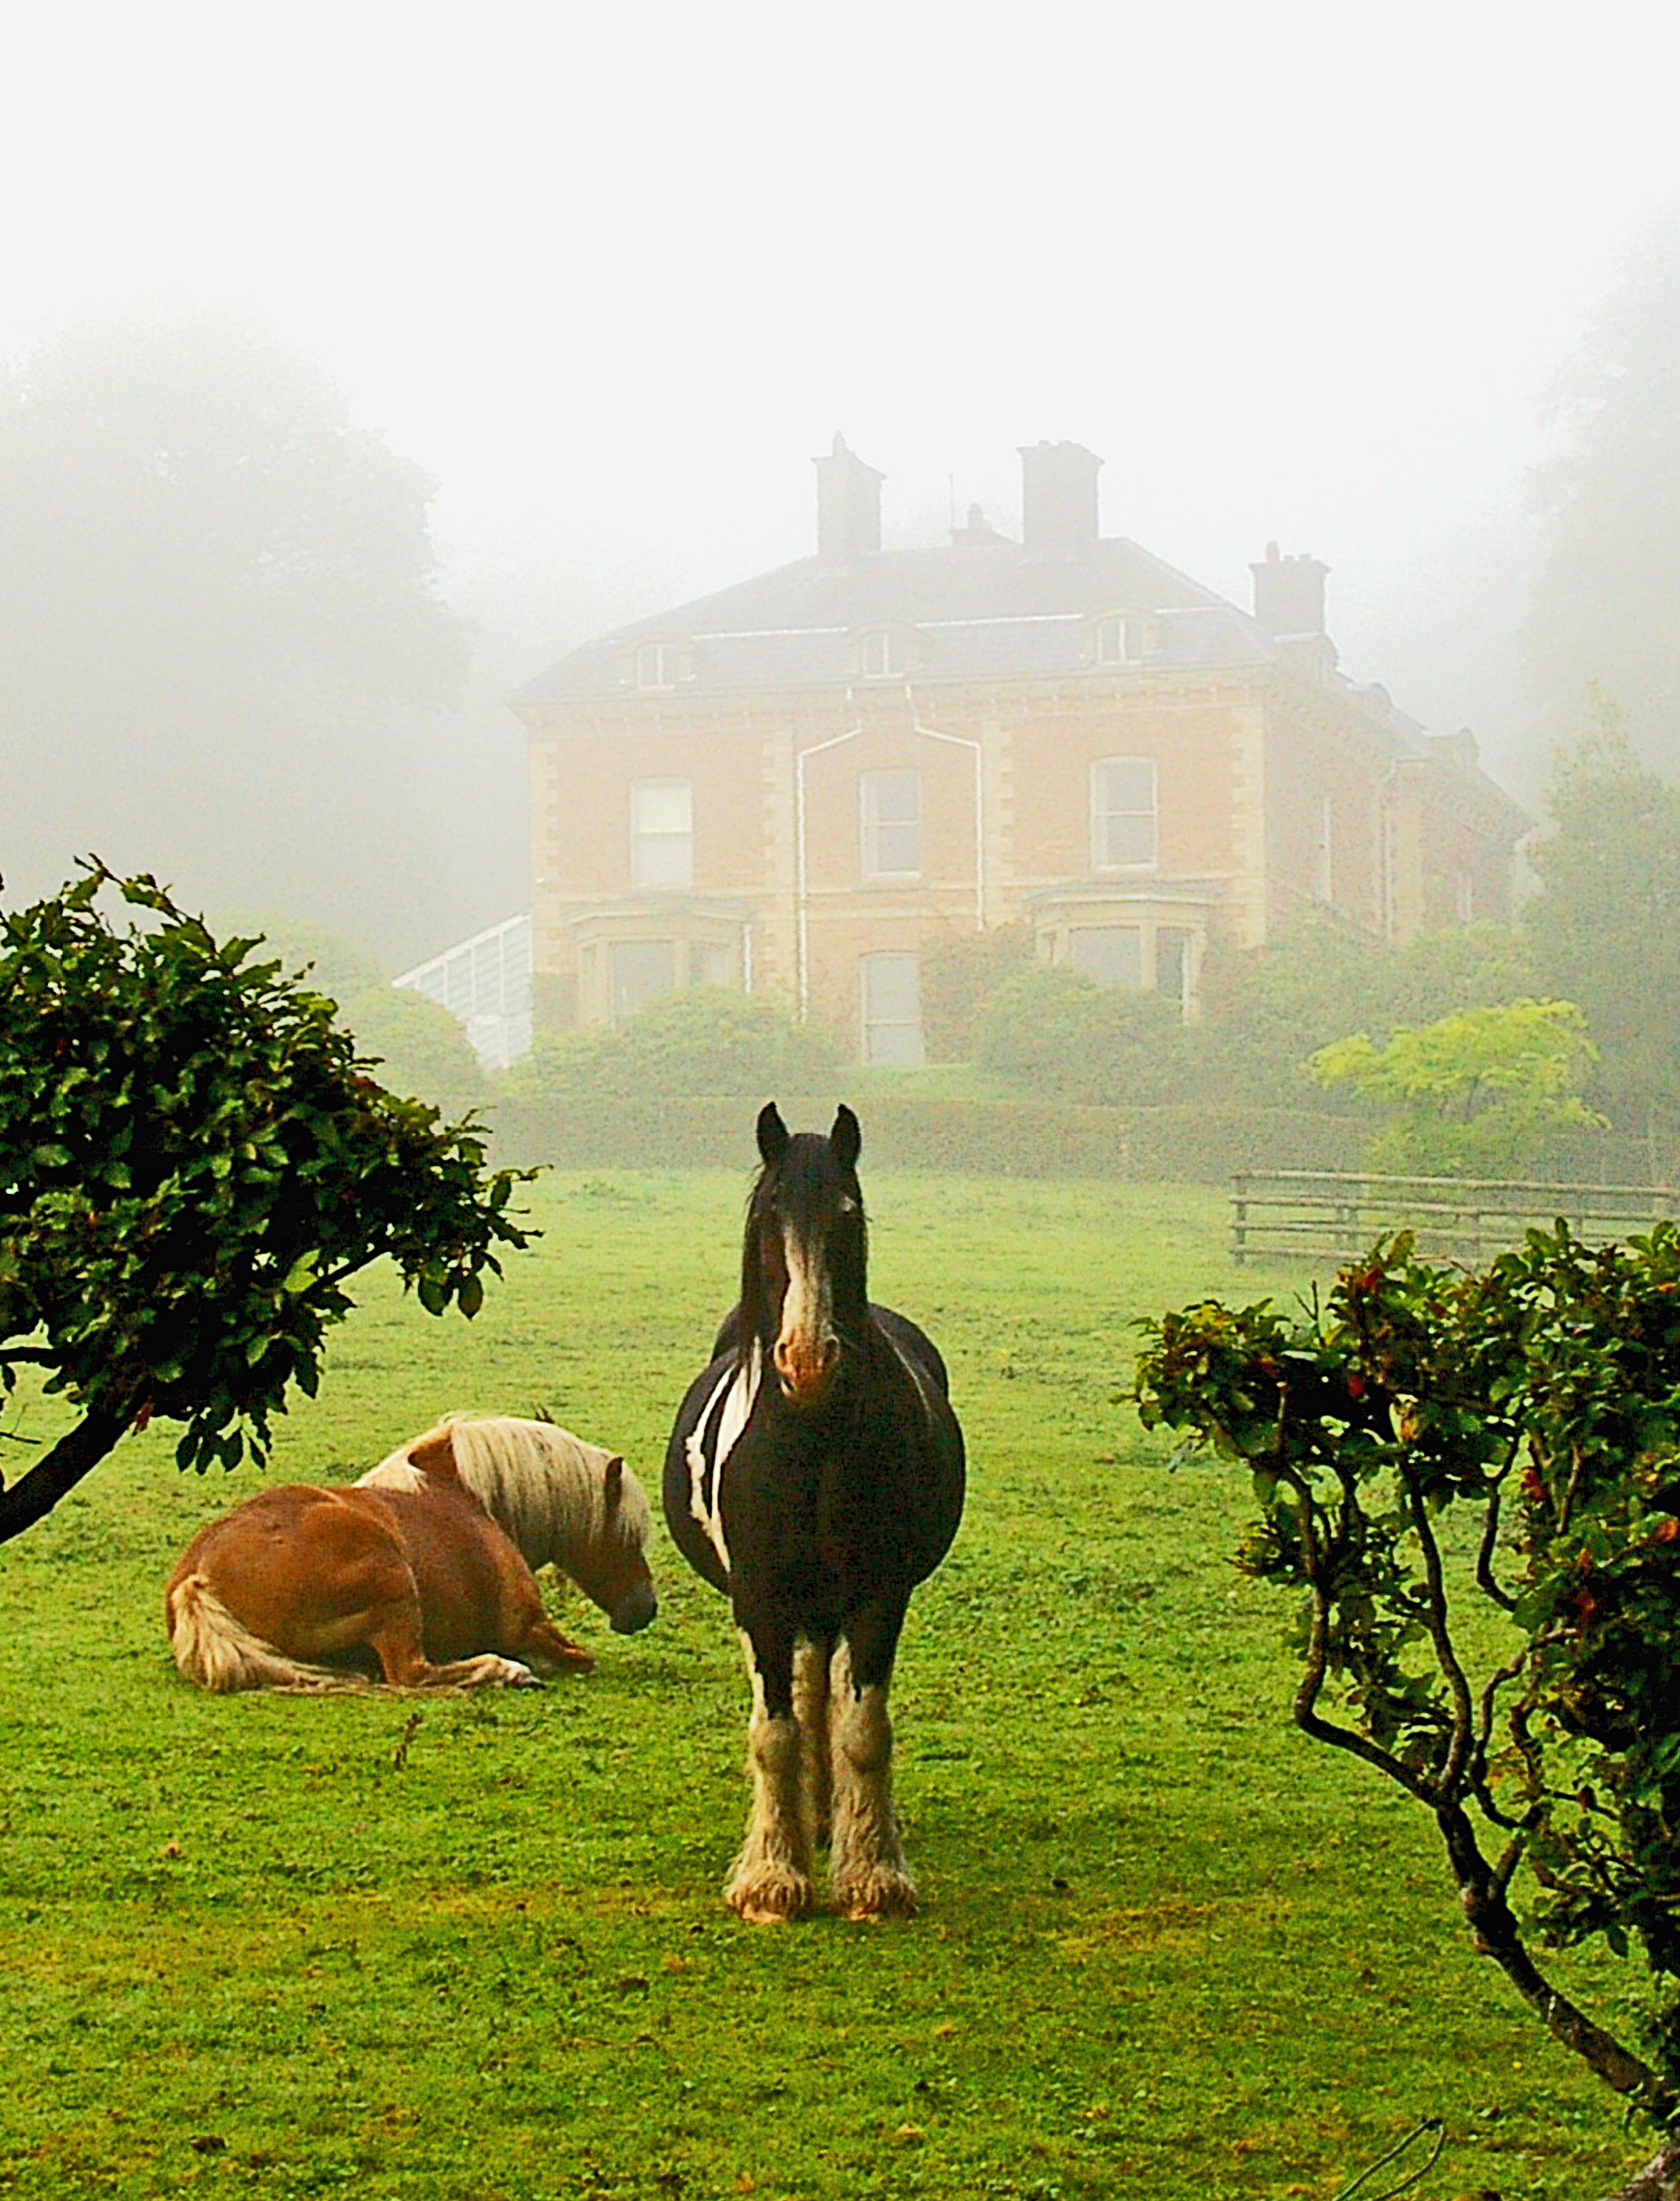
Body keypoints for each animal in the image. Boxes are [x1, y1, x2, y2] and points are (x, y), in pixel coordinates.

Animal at [167, 1417, 655, 1690]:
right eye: (627, 1533)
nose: (645, 1608)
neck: (472, 1497)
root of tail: (198, 1575)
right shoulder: (526, 1627)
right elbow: (580, 1659)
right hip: (393, 1585)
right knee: (411, 1673)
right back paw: (505, 1672)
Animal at [665, 1109, 964, 1919]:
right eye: (769, 1218)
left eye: (847, 1214)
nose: (806, 1361)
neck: (812, 1432)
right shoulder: (759, 1598)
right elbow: (775, 1732)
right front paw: (771, 1880)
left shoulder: (877, 1596)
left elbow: (862, 1729)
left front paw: (873, 1877)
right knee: (800, 1696)